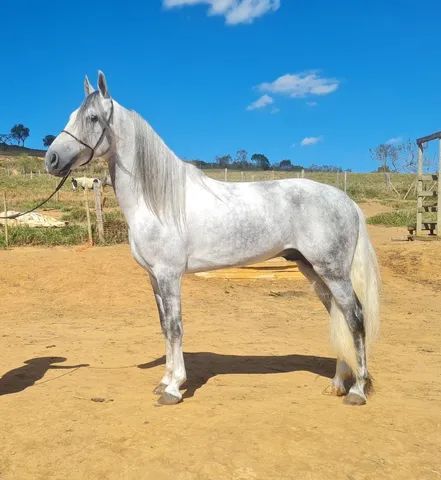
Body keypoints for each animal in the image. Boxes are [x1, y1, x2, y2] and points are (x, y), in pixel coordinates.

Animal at [46, 73, 380, 406]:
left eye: (92, 117)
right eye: (72, 115)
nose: (51, 159)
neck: (158, 202)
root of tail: (346, 201)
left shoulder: (169, 275)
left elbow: (175, 327)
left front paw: (173, 388)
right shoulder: (154, 277)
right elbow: (164, 326)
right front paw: (165, 380)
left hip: (333, 272)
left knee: (355, 317)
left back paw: (357, 390)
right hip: (312, 270)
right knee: (338, 317)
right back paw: (336, 384)